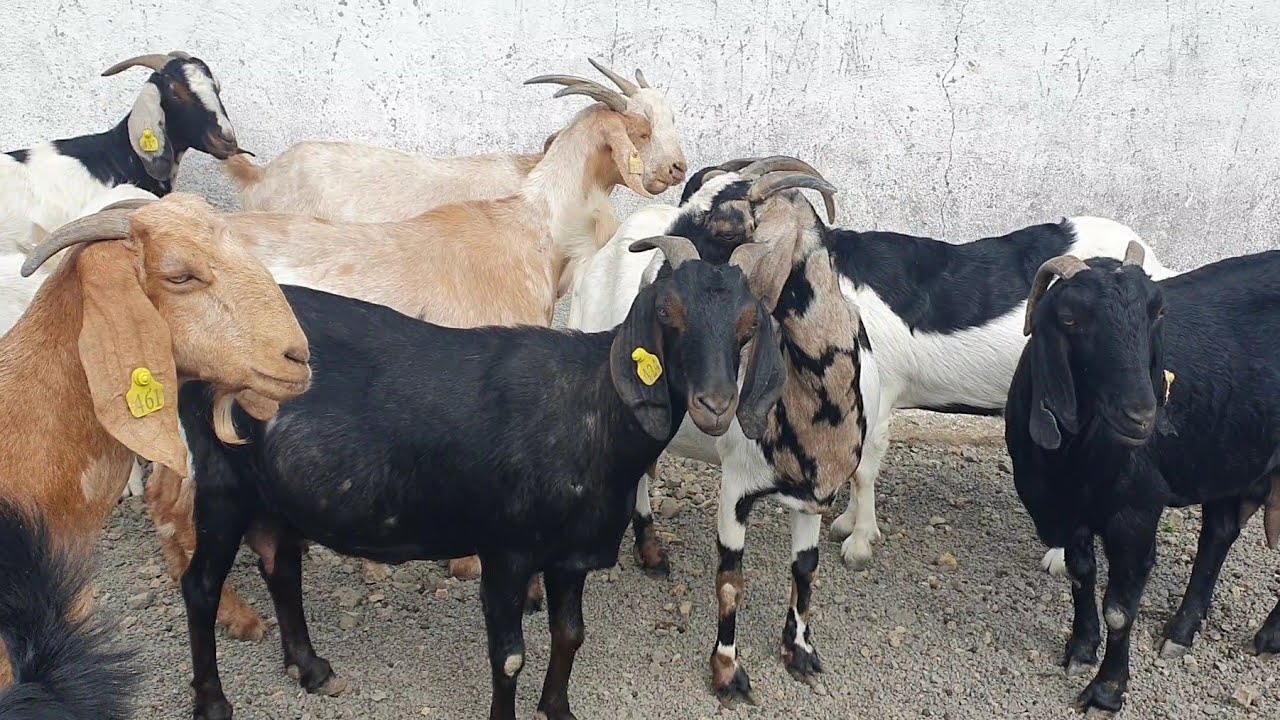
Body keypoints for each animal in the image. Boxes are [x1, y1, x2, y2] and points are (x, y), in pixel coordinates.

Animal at [143, 60, 690, 640]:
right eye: (640, 130)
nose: (679, 167)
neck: (534, 231)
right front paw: (472, 562)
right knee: (170, 501)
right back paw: (237, 614)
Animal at [174, 236, 783, 720]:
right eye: (668, 312)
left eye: (749, 325)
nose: (715, 405)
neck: (590, 407)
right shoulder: (506, 549)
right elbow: (509, 656)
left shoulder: (570, 556)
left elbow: (570, 636)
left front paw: (558, 710)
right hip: (222, 483)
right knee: (200, 585)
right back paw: (213, 702)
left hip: (274, 492)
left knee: (280, 565)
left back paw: (311, 668)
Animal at [571, 157, 881, 701]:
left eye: (726, 225)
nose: (650, 284)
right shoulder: (737, 486)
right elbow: (731, 580)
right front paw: (727, 673)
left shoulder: (811, 496)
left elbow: (805, 569)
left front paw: (800, 652)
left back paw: (651, 551)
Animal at [1006, 243, 1280, 713]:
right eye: (1070, 319)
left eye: (1157, 311)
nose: (1141, 415)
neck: (1077, 462)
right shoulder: (1069, 511)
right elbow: (1080, 576)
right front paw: (1080, 650)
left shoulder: (1135, 514)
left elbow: (1120, 609)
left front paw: (1106, 691)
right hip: (1227, 452)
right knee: (1219, 532)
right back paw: (1181, 632)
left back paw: (1268, 636)